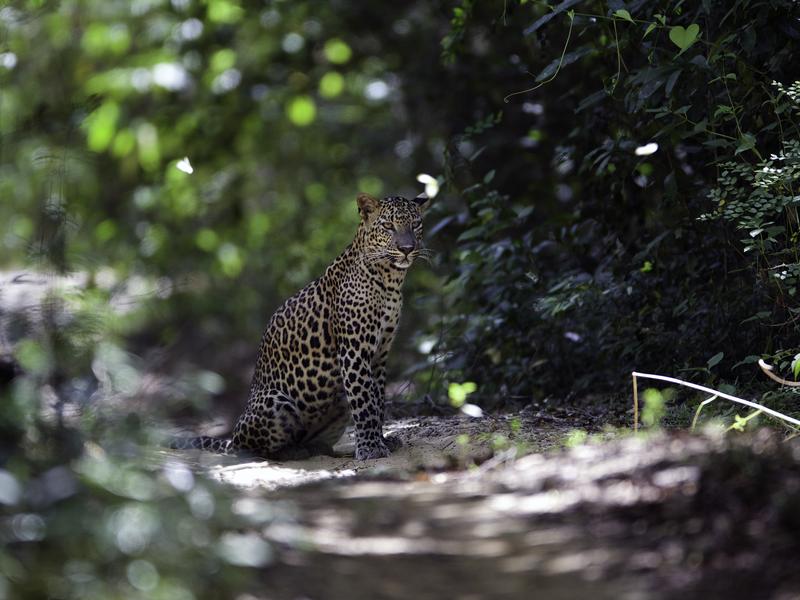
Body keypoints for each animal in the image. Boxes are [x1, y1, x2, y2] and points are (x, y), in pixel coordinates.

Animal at [171, 191, 431, 460]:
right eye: (388, 226)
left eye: (415, 225)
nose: (407, 249)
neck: (390, 281)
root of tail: (231, 438)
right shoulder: (354, 352)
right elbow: (364, 403)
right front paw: (370, 448)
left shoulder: (380, 354)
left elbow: (377, 402)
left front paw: (381, 441)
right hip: (274, 402)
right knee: (252, 449)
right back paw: (292, 452)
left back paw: (316, 448)